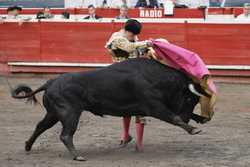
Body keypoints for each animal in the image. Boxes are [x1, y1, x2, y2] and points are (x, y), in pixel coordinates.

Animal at [11, 57, 213, 160]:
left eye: (195, 100)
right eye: (189, 98)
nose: (186, 118)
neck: (154, 77)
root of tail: (50, 82)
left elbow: (187, 116)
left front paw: (201, 119)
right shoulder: (154, 107)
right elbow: (174, 117)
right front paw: (193, 129)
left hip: (54, 113)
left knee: (40, 126)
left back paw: (28, 146)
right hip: (69, 113)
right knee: (65, 134)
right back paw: (77, 156)